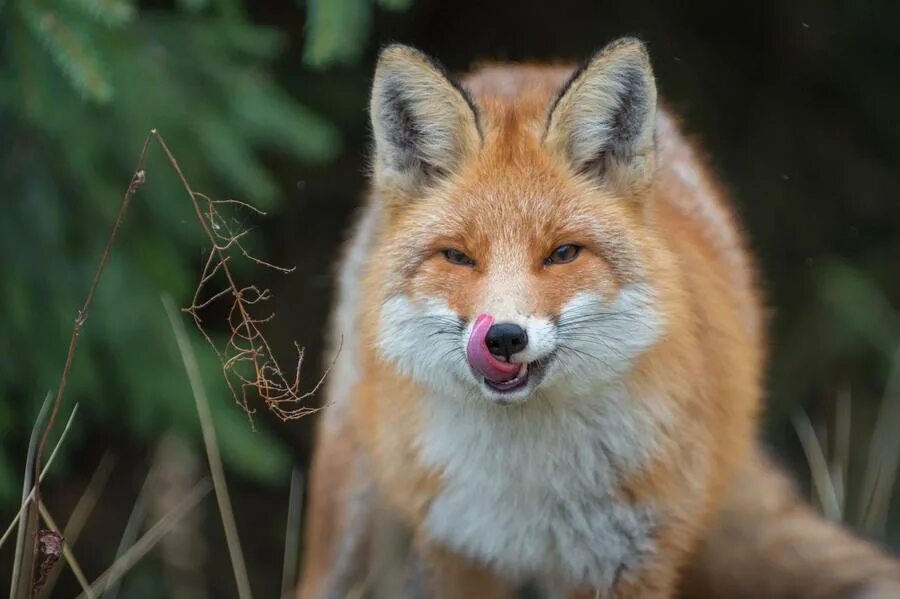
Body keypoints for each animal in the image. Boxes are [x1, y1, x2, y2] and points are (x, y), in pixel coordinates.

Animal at [298, 39, 900, 596]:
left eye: (563, 254)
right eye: (458, 257)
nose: (504, 338)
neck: (525, 478)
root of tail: (522, 66)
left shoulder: (628, 555)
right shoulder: (456, 550)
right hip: (349, 520)